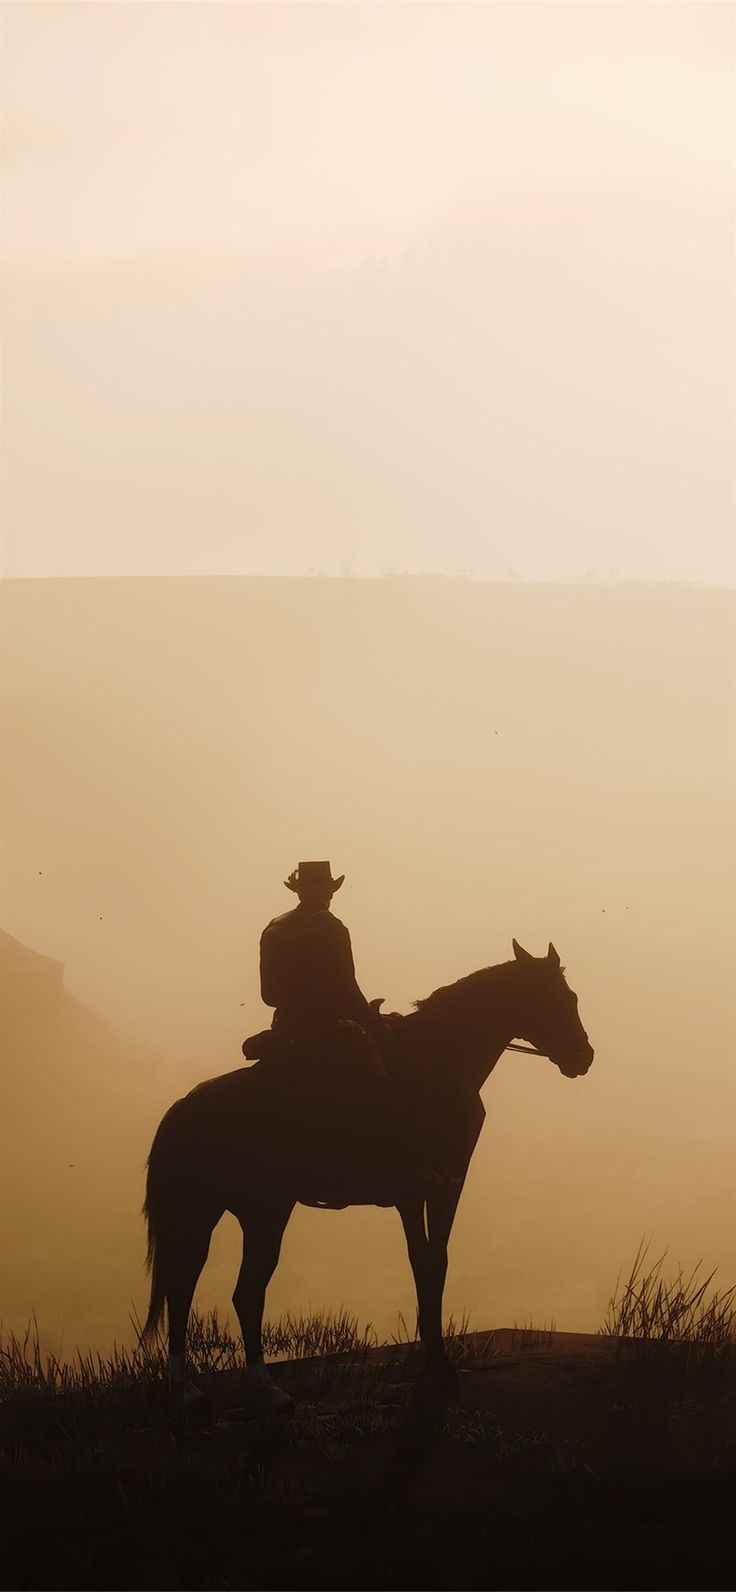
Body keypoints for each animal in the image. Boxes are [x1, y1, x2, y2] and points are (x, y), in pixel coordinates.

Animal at [142, 936, 592, 1413]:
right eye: (565, 998)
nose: (584, 1055)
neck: (441, 1061)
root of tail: (184, 1108)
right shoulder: (439, 1185)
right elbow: (434, 1261)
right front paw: (440, 1364)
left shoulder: (417, 1194)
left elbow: (423, 1262)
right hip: (244, 1211)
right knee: (226, 1291)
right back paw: (245, 1385)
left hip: (226, 1212)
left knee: (197, 1288)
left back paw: (202, 1387)